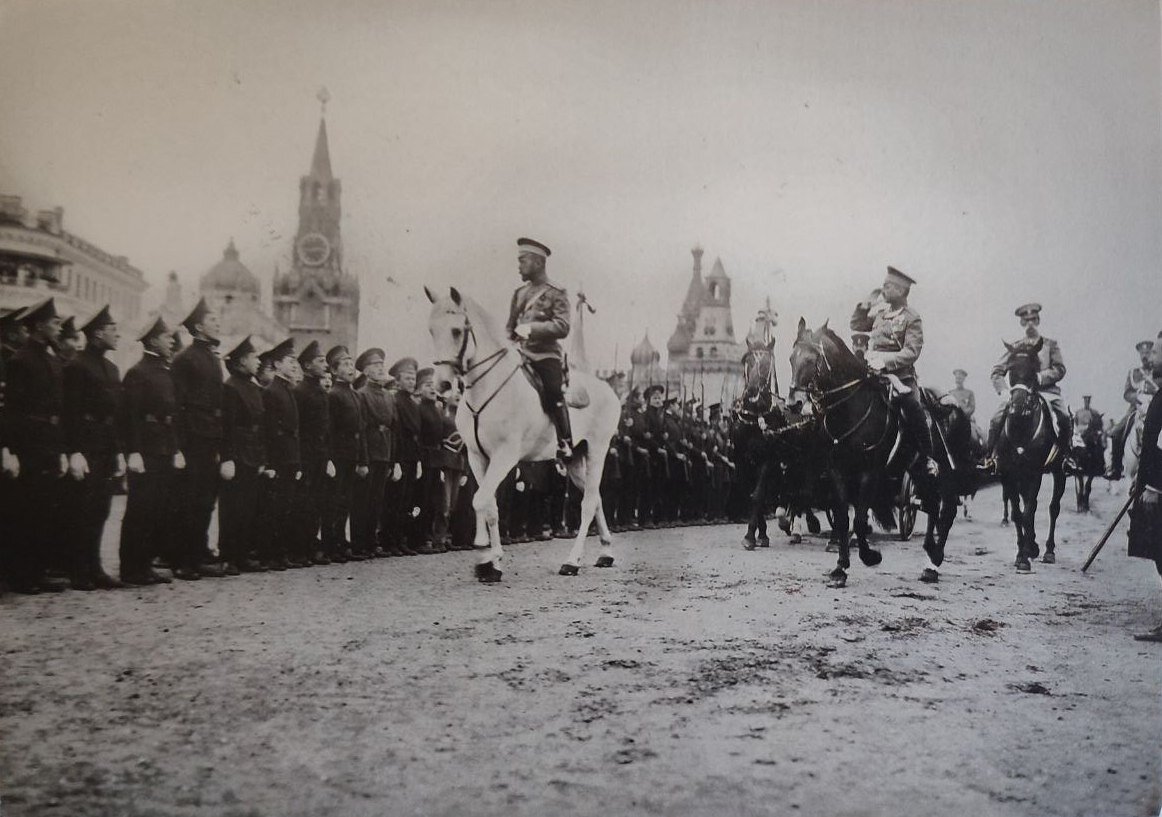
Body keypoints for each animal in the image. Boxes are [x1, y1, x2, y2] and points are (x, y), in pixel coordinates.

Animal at [427, 288, 622, 581]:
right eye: (431, 330)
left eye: (456, 330)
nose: (442, 384)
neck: (487, 388)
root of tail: (608, 389)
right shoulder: (477, 457)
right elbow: (489, 505)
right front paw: (494, 562)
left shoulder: (504, 456)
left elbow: (480, 500)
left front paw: (484, 556)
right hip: (574, 457)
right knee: (596, 497)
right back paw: (606, 552)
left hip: (597, 450)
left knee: (588, 503)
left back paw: (572, 561)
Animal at [790, 320, 971, 588]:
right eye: (792, 358)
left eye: (813, 359)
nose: (794, 403)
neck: (852, 408)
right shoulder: (838, 472)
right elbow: (843, 519)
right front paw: (840, 568)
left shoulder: (869, 473)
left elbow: (859, 519)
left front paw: (870, 556)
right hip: (920, 471)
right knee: (931, 506)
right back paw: (929, 556)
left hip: (949, 473)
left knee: (946, 511)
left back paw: (934, 562)